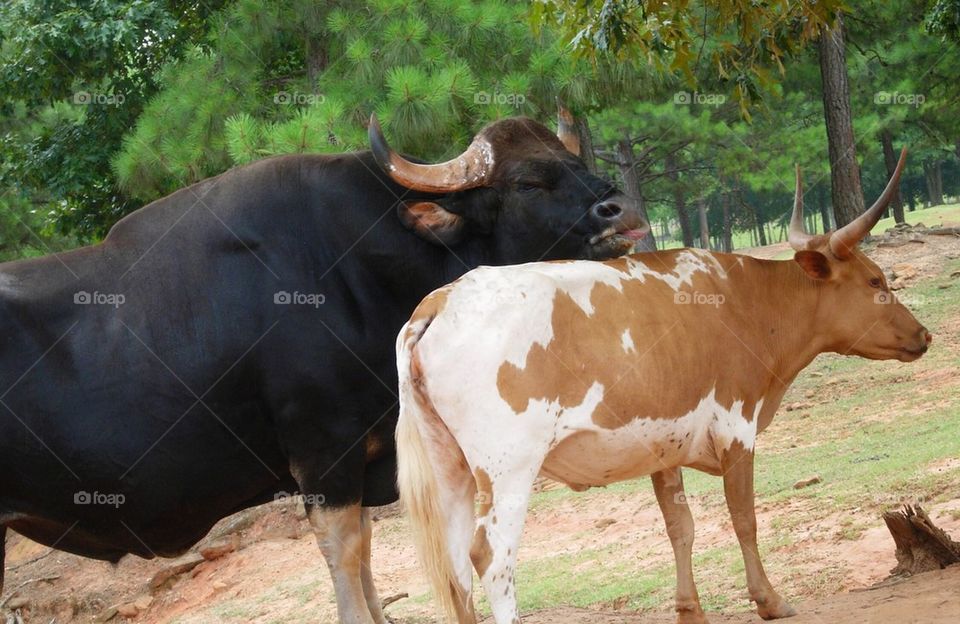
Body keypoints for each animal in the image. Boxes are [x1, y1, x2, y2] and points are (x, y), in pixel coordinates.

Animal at [0, 111, 646, 624]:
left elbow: (366, 552)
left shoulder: (360, 458)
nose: (622, 211)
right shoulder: (322, 453)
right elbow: (345, 554)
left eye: (572, 159)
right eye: (528, 181)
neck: (352, 266)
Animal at [395, 149, 930, 624]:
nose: (923, 335)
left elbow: (680, 528)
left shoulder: (662, 445)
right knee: (491, 555)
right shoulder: (737, 426)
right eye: (875, 280)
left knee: (454, 565)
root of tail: (443, 299)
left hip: (451, 471)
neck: (748, 300)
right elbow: (744, 517)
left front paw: (690, 610)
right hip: (509, 466)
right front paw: (770, 601)